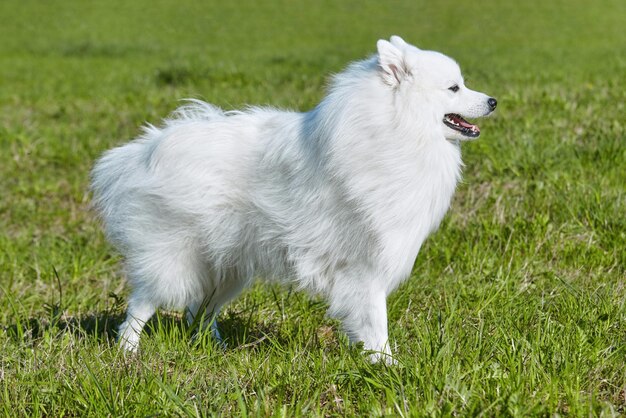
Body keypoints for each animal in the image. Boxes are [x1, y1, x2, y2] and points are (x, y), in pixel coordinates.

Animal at [90, 36, 494, 362]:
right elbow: (376, 321)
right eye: (454, 88)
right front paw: (388, 366)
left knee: (199, 311)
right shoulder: (364, 268)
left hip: (226, 267)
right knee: (142, 305)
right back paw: (128, 352)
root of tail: (143, 151)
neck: (398, 132)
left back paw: (215, 348)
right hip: (175, 258)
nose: (492, 101)